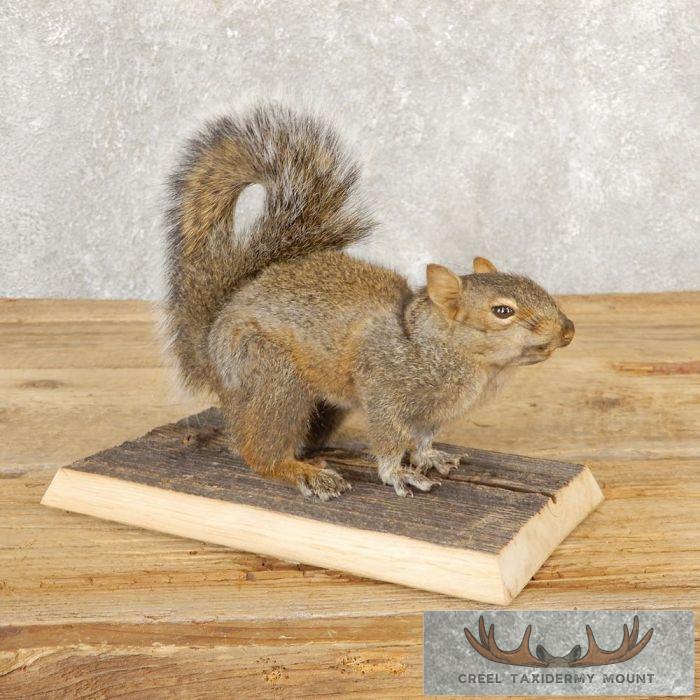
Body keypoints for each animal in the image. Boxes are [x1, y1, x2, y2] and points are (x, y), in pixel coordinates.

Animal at [163, 104, 574, 500]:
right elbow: (390, 439)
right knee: (258, 450)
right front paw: (398, 474)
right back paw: (303, 472)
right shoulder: (383, 390)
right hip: (272, 376)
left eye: (533, 283)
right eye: (502, 311)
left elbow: (422, 439)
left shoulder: (431, 414)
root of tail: (211, 350)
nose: (568, 330)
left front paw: (430, 458)